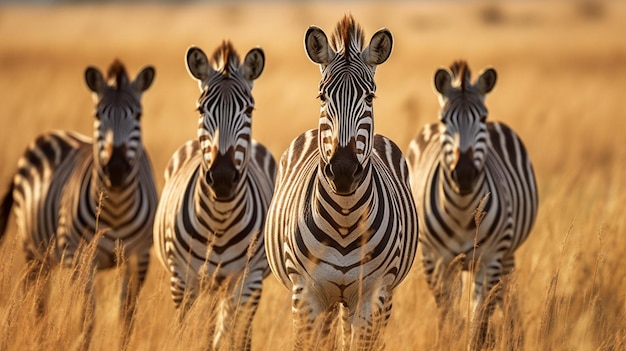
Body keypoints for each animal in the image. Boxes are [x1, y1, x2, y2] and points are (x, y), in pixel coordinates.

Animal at [0, 61, 158, 340]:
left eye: (138, 116)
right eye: (98, 115)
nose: (116, 169)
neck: (116, 208)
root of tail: (46, 135)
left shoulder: (140, 257)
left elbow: (126, 316)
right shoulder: (82, 258)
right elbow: (87, 319)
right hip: (34, 251)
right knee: (37, 302)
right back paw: (39, 338)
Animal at [152, 42, 274, 351]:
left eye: (249, 109)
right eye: (201, 108)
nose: (221, 178)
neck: (220, 220)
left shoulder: (249, 280)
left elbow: (239, 339)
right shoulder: (182, 279)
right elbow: (185, 334)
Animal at [264, 15, 420, 350]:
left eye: (369, 97)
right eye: (322, 96)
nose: (344, 170)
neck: (345, 218)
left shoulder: (372, 295)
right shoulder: (306, 295)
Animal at [404, 60, 536, 350]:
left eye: (482, 119)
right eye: (444, 120)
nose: (464, 174)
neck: (463, 211)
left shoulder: (490, 259)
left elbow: (480, 323)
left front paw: (481, 339)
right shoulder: (435, 261)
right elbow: (449, 319)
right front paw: (449, 340)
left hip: (506, 252)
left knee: (506, 294)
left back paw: (514, 336)